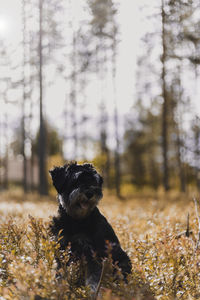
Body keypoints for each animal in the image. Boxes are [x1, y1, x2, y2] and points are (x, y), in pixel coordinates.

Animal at [49, 162, 132, 292]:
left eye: (93, 181)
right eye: (76, 180)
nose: (89, 193)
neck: (75, 220)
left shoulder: (91, 252)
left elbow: (93, 277)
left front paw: (93, 292)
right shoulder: (61, 247)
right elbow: (60, 272)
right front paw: (59, 287)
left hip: (121, 261)